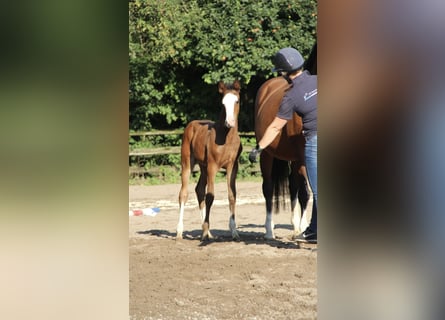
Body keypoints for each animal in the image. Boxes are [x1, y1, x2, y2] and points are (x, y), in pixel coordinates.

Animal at [176, 80, 241, 240]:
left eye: (236, 101)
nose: (229, 122)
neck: (226, 139)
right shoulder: (213, 166)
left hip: (203, 167)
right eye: (223, 103)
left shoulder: (232, 167)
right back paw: (180, 231)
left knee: (199, 189)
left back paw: (208, 233)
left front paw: (234, 232)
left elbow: (232, 196)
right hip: (188, 163)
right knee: (183, 193)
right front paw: (205, 230)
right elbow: (210, 196)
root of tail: (192, 124)